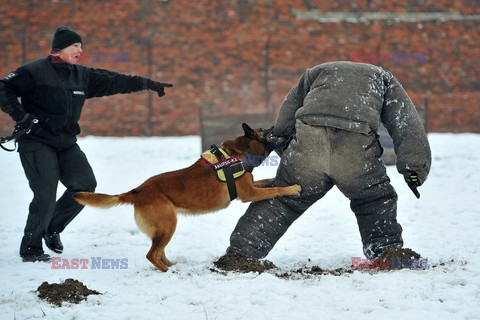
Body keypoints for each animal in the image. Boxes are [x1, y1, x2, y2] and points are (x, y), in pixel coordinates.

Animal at [74, 124, 300, 272]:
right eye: (266, 130)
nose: (278, 125)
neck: (238, 153)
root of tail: (136, 191)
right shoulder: (249, 194)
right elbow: (275, 190)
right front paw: (292, 188)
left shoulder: (252, 187)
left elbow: (268, 181)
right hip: (168, 225)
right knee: (152, 254)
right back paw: (168, 272)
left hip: (165, 226)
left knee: (159, 251)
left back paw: (171, 265)